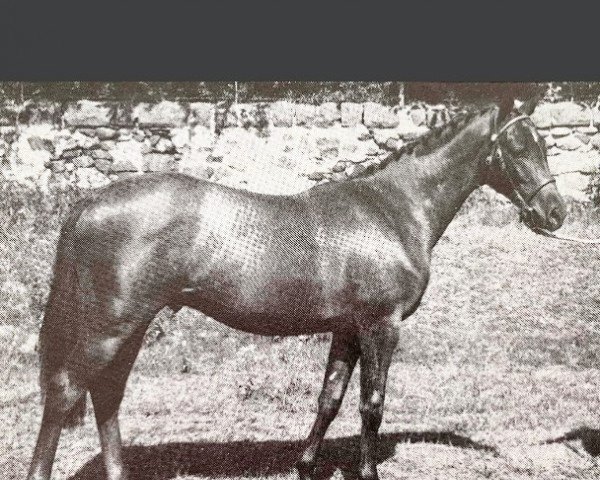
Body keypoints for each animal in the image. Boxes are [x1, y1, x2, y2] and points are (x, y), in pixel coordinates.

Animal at [27, 94, 564, 480]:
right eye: (520, 146)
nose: (556, 212)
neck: (392, 209)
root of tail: (91, 201)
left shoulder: (347, 329)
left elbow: (330, 399)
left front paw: (306, 466)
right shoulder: (381, 326)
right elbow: (372, 404)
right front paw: (367, 472)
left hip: (131, 327)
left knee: (107, 395)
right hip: (109, 328)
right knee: (66, 392)